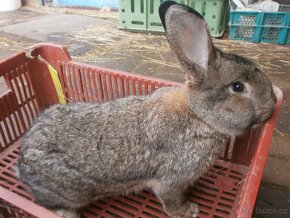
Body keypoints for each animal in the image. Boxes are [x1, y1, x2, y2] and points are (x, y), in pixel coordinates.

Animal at [16, 0, 276, 217]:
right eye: (238, 87)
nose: (272, 104)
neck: (198, 115)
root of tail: (22, 162)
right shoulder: (172, 180)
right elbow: (169, 199)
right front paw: (188, 210)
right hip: (71, 192)